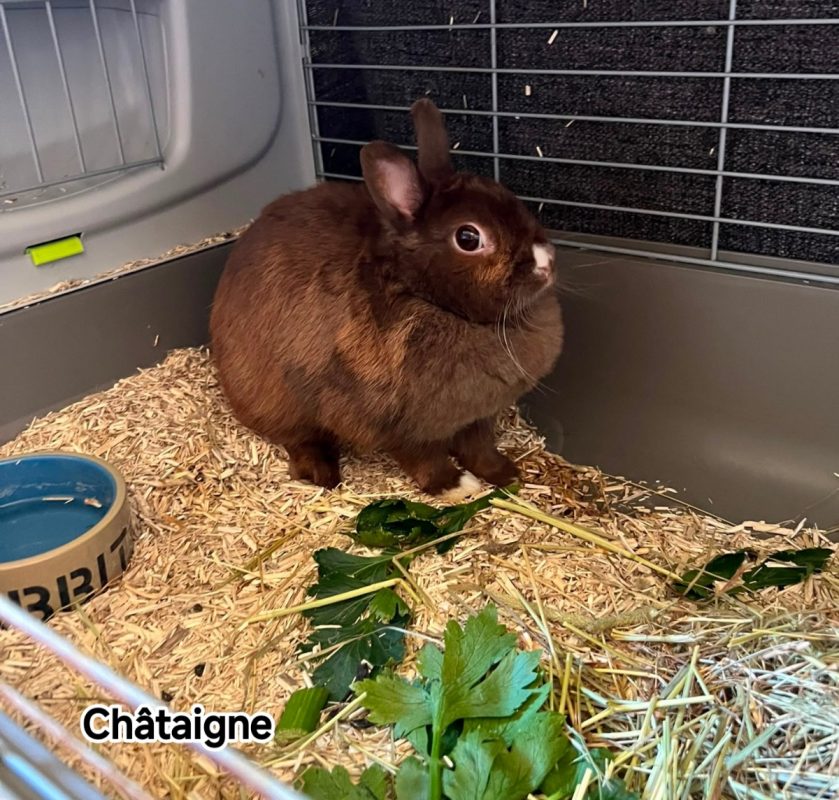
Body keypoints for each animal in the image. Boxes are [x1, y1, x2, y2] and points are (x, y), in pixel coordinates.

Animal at [209, 98, 563, 498]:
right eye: (468, 238)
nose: (547, 261)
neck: (426, 297)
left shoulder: (477, 417)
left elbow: (480, 448)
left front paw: (506, 474)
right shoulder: (395, 425)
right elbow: (424, 459)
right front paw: (458, 486)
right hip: (278, 402)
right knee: (300, 439)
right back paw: (324, 474)